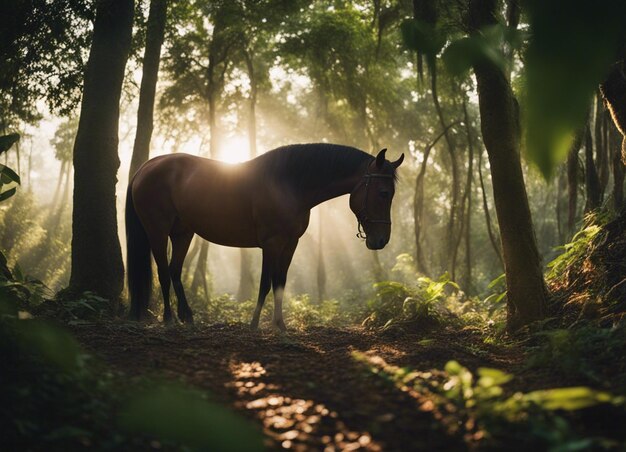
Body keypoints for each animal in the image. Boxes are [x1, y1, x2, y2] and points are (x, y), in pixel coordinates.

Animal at [124, 143, 402, 330]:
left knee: (174, 270)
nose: (381, 240)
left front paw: (280, 325)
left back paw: (188, 317)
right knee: (163, 271)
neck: (289, 184)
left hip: (183, 232)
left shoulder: (290, 244)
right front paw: (255, 323)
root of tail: (146, 167)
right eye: (383, 193)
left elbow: (280, 282)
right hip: (158, 231)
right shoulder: (271, 244)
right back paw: (169, 319)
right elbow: (265, 284)